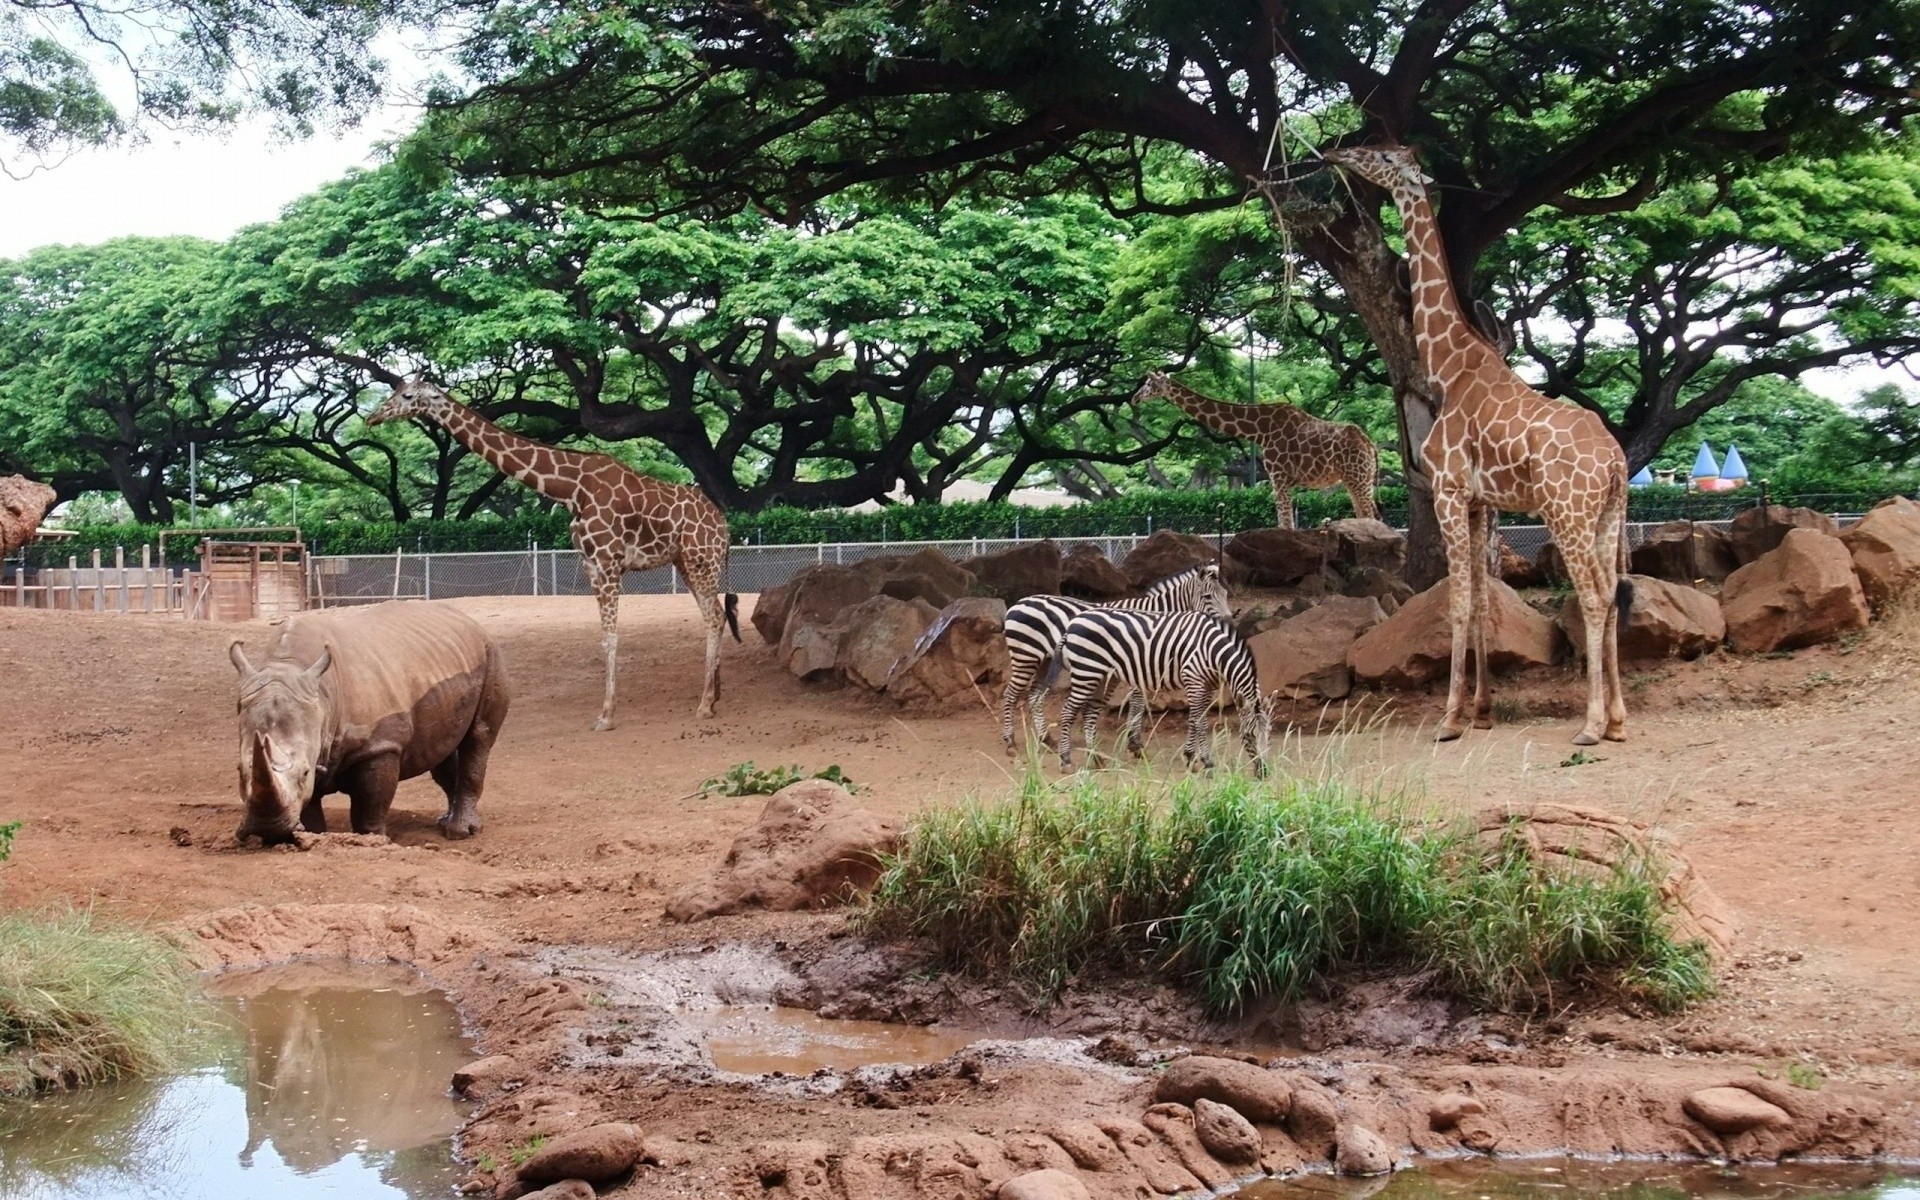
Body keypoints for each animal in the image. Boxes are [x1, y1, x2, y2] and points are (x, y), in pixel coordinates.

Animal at [368, 378, 741, 725]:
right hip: (687, 562)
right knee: (715, 616)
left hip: (701, 559)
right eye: (396, 391)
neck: (570, 490)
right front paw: (607, 710)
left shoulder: (607, 561)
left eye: (406, 395)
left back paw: (704, 705)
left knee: (714, 617)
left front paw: (606, 715)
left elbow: (610, 637)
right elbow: (604, 636)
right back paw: (715, 697)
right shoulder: (590, 564)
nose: (373, 417)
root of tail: (723, 524)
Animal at [998, 564, 1221, 752]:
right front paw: (1134, 742)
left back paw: (1046, 739)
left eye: (1225, 595)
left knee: (1034, 696)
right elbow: (1138, 703)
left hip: (1044, 661)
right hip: (1025, 657)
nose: (1225, 622)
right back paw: (1010, 741)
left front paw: (1132, 740)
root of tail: (1018, 603)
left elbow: (1137, 703)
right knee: (1010, 694)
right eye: (1207, 597)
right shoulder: (1138, 663)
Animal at [1059, 614, 1267, 771]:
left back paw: (1095, 758)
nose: (1264, 772)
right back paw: (1066, 760)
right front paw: (1207, 762)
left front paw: (1190, 756)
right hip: (1086, 672)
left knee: (1090, 713)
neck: (1213, 651)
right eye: (1251, 736)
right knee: (1068, 713)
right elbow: (1200, 722)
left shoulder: (1206, 687)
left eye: (1268, 736)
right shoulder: (1194, 680)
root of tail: (1073, 622)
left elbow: (1193, 720)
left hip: (1103, 677)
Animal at [1128, 370, 1374, 529]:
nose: (1134, 397)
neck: (1260, 430)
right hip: (1359, 480)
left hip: (1358, 478)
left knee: (1370, 516)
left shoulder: (1277, 475)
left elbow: (1285, 523)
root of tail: (1370, 446)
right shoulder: (1280, 478)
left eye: (1148, 384)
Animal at [1328, 144, 1628, 744]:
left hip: (1568, 511)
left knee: (1591, 594)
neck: (1448, 365)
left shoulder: (1447, 489)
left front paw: (1449, 718)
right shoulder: (1480, 501)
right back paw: (1618, 720)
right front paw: (1483, 710)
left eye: (1381, 155)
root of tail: (1615, 462)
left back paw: (1590, 724)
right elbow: (1486, 600)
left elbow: (1460, 602)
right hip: (1609, 514)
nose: (1336, 151)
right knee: (1611, 592)